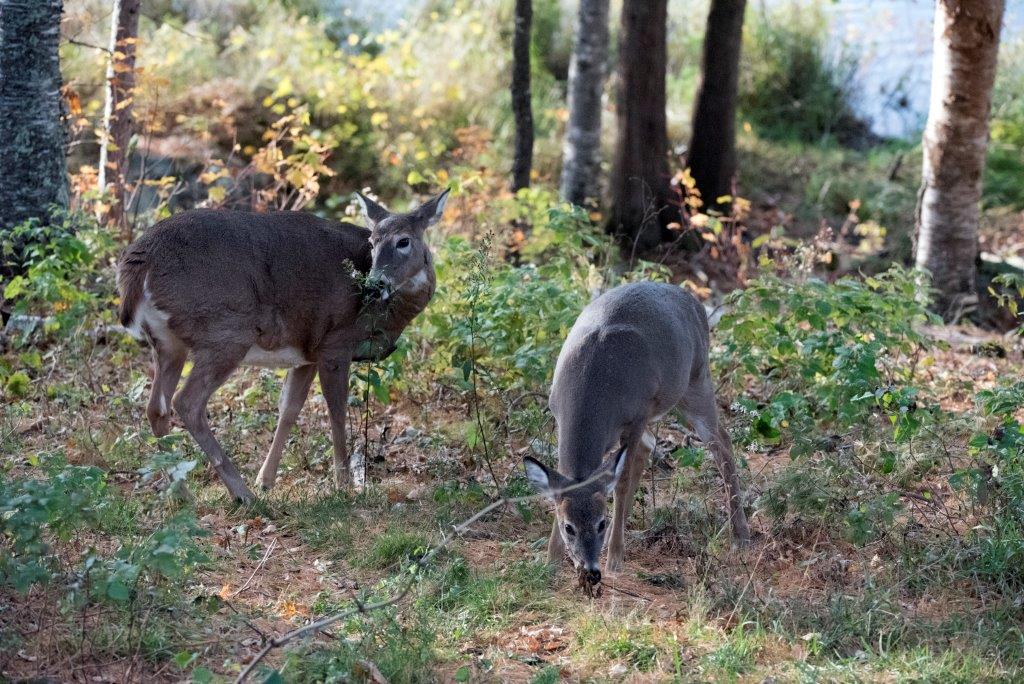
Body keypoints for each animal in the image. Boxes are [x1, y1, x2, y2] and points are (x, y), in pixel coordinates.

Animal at [116, 188, 449, 503]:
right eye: (372, 242)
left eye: (403, 241)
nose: (375, 283)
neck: (385, 312)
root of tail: (138, 265)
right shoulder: (335, 344)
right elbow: (336, 410)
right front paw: (343, 484)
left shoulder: (307, 353)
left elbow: (289, 408)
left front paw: (265, 480)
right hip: (226, 331)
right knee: (187, 402)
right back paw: (241, 494)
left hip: (167, 343)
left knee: (155, 407)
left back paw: (183, 492)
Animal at [523, 281, 750, 587]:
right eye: (568, 526)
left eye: (601, 522)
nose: (589, 567)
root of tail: (694, 301)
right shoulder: (558, 413)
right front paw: (550, 559)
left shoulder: (636, 415)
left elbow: (621, 482)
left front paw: (615, 558)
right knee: (651, 446)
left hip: (696, 379)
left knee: (721, 441)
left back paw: (740, 536)